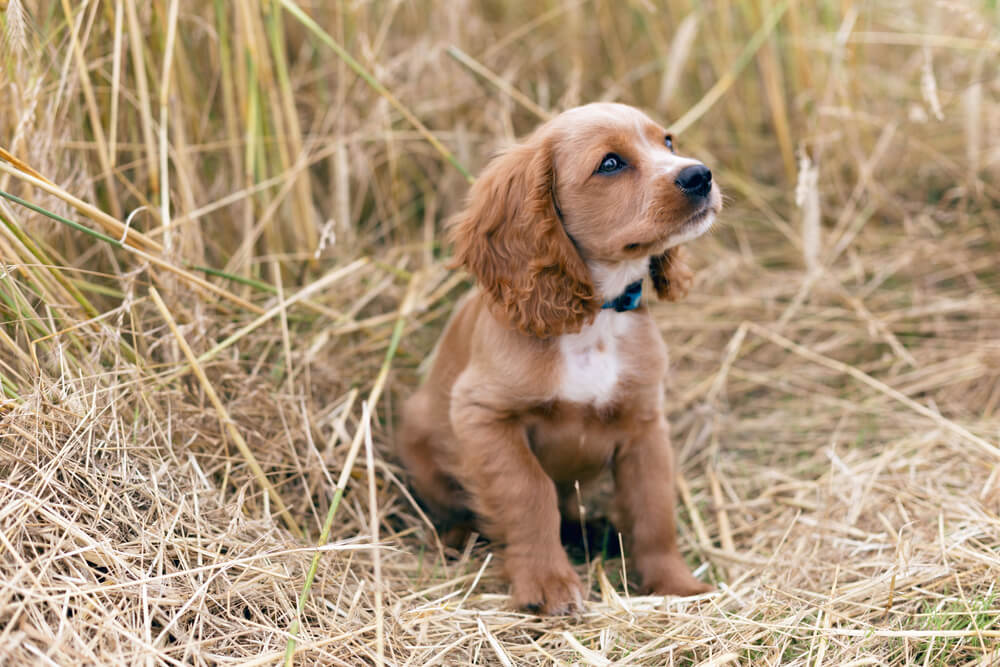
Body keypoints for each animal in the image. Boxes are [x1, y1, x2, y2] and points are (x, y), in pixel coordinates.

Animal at [396, 102, 720, 612]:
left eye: (667, 141)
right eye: (610, 163)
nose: (700, 175)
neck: (595, 316)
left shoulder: (646, 425)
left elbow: (654, 509)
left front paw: (676, 584)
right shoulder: (484, 416)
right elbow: (530, 495)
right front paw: (547, 584)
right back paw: (457, 535)